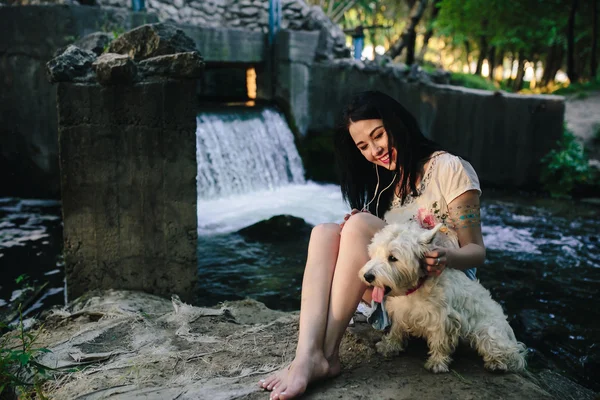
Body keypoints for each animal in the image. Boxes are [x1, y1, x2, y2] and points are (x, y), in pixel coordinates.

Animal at [360, 223, 524, 374]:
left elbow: (440, 341)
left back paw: (497, 363)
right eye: (374, 253)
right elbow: (396, 330)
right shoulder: (401, 313)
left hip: (488, 330)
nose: (367, 276)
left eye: (393, 258)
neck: (415, 288)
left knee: (511, 353)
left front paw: (437, 363)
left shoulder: (443, 318)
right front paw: (389, 346)